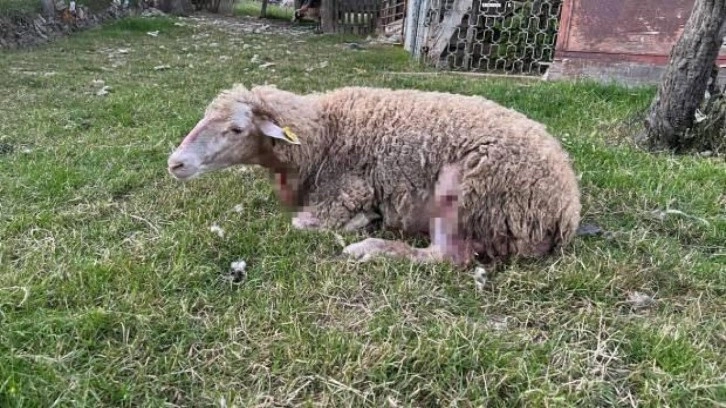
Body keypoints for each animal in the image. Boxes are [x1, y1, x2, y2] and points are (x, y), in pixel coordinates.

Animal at [168, 84, 584, 268]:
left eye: (237, 129)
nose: (175, 163)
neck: (324, 132)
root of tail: (567, 209)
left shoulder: (345, 191)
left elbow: (303, 224)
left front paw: (362, 222)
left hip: (467, 189)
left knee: (447, 256)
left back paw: (367, 249)